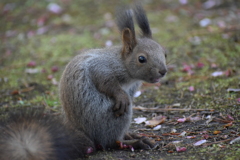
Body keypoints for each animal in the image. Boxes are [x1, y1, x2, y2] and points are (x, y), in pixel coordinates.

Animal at [60, 3, 167, 151]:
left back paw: (131, 136)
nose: (163, 71)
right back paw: (136, 142)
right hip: (111, 117)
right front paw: (121, 95)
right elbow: (105, 82)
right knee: (110, 142)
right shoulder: (101, 67)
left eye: (165, 53)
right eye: (141, 59)